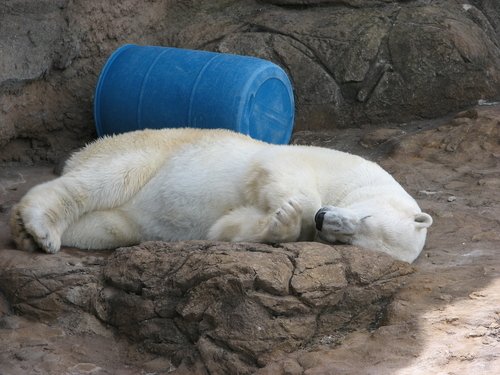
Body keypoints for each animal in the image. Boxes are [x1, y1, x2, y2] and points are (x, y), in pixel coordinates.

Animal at [10, 129, 434, 264]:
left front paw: (276, 223)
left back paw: (28, 234)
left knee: (104, 226)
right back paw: (39, 227)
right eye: (365, 218)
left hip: (122, 222)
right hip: (151, 149)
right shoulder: (330, 162)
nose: (323, 219)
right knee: (103, 181)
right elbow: (277, 168)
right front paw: (293, 210)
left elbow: (226, 227)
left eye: (349, 243)